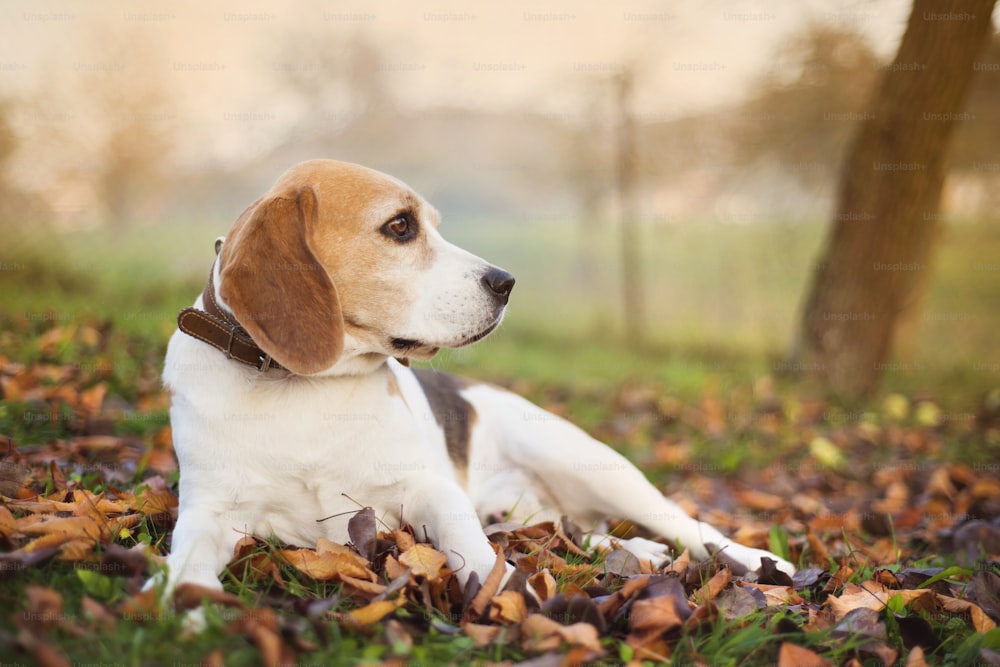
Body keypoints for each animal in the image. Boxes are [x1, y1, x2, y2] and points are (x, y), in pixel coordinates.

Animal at [158, 159, 796, 596]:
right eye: (399, 226)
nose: (507, 282)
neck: (302, 390)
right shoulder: (208, 511)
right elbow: (187, 560)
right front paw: (182, 606)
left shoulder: (427, 488)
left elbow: (467, 542)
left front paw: (497, 586)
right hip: (529, 510)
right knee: (573, 533)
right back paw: (635, 551)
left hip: (594, 464)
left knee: (687, 525)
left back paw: (761, 562)